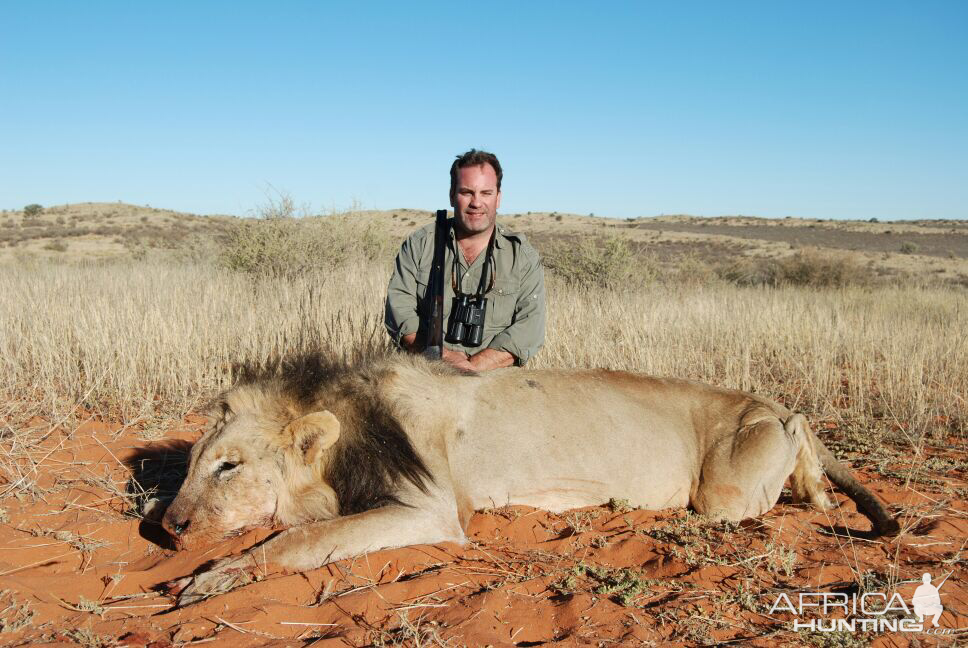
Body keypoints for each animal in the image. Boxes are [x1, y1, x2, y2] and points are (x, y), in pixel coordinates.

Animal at [163, 352, 896, 604]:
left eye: (228, 465)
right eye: (192, 463)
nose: (167, 528)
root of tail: (773, 403)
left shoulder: (431, 509)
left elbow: (299, 540)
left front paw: (211, 578)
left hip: (727, 489)